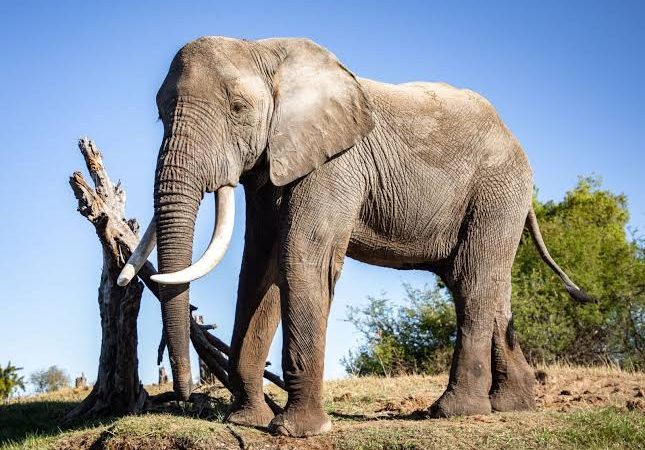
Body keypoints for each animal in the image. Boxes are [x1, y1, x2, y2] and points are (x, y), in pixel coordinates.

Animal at [118, 36, 587, 437]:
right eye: (161, 114)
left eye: (237, 107)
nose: (182, 396)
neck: (265, 51)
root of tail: (513, 138)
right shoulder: (275, 163)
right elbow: (258, 266)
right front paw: (246, 419)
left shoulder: (334, 164)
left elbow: (300, 258)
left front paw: (297, 431)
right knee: (487, 285)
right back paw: (515, 404)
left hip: (497, 190)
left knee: (472, 283)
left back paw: (453, 411)